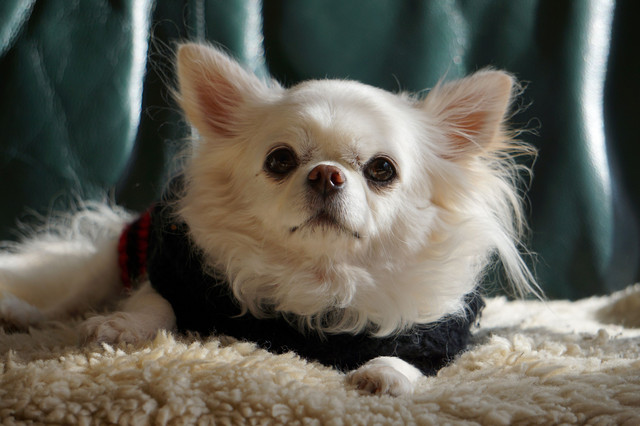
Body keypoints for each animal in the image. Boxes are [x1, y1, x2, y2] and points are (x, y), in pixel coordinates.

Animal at [0, 43, 539, 396]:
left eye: (382, 170)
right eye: (280, 160)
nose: (326, 174)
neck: (319, 276)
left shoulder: (442, 334)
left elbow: (412, 356)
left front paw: (384, 373)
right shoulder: (177, 270)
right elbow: (155, 304)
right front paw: (121, 326)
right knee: (69, 295)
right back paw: (23, 312)